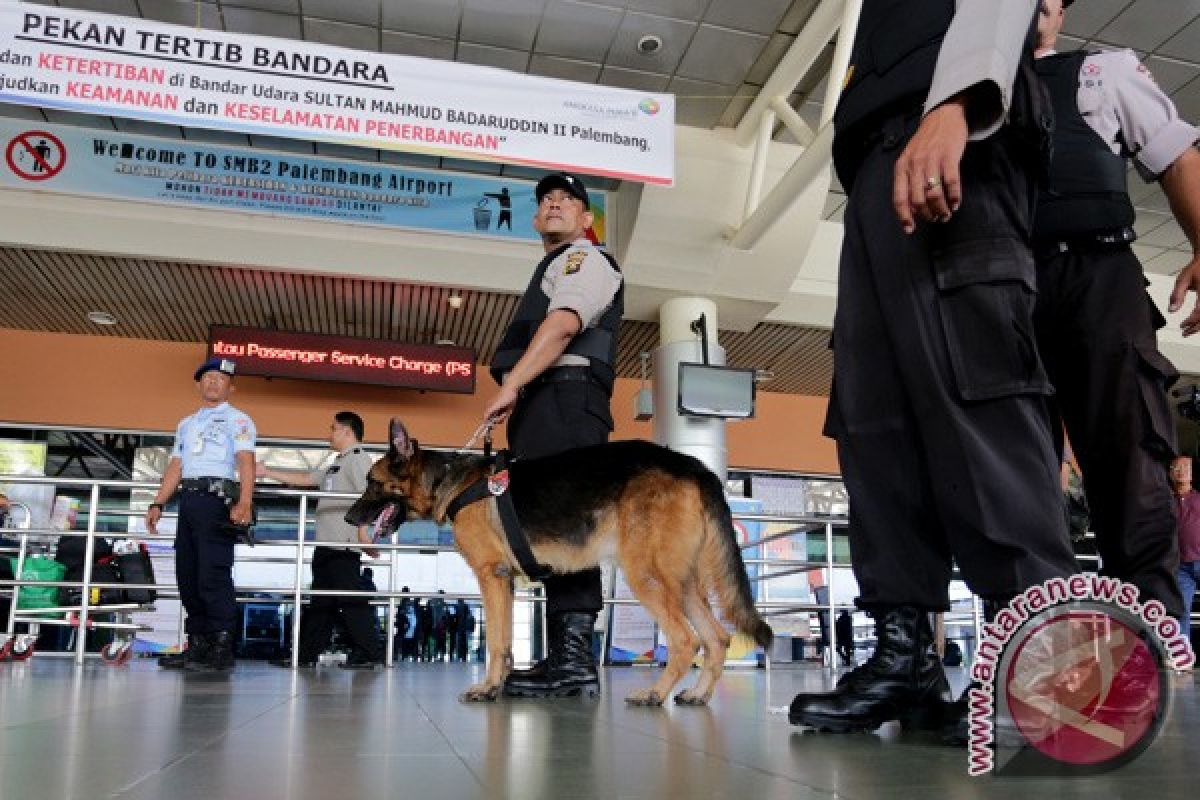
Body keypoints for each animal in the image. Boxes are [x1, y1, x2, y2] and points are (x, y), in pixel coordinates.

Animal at [348, 419, 772, 705]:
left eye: (372, 482)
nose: (350, 518)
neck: (448, 483)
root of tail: (694, 467)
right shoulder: (506, 583)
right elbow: (504, 643)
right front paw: (499, 684)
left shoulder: (492, 577)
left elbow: (497, 642)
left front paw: (488, 687)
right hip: (680, 583)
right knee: (716, 638)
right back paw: (697, 694)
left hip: (647, 577)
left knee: (686, 640)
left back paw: (654, 694)